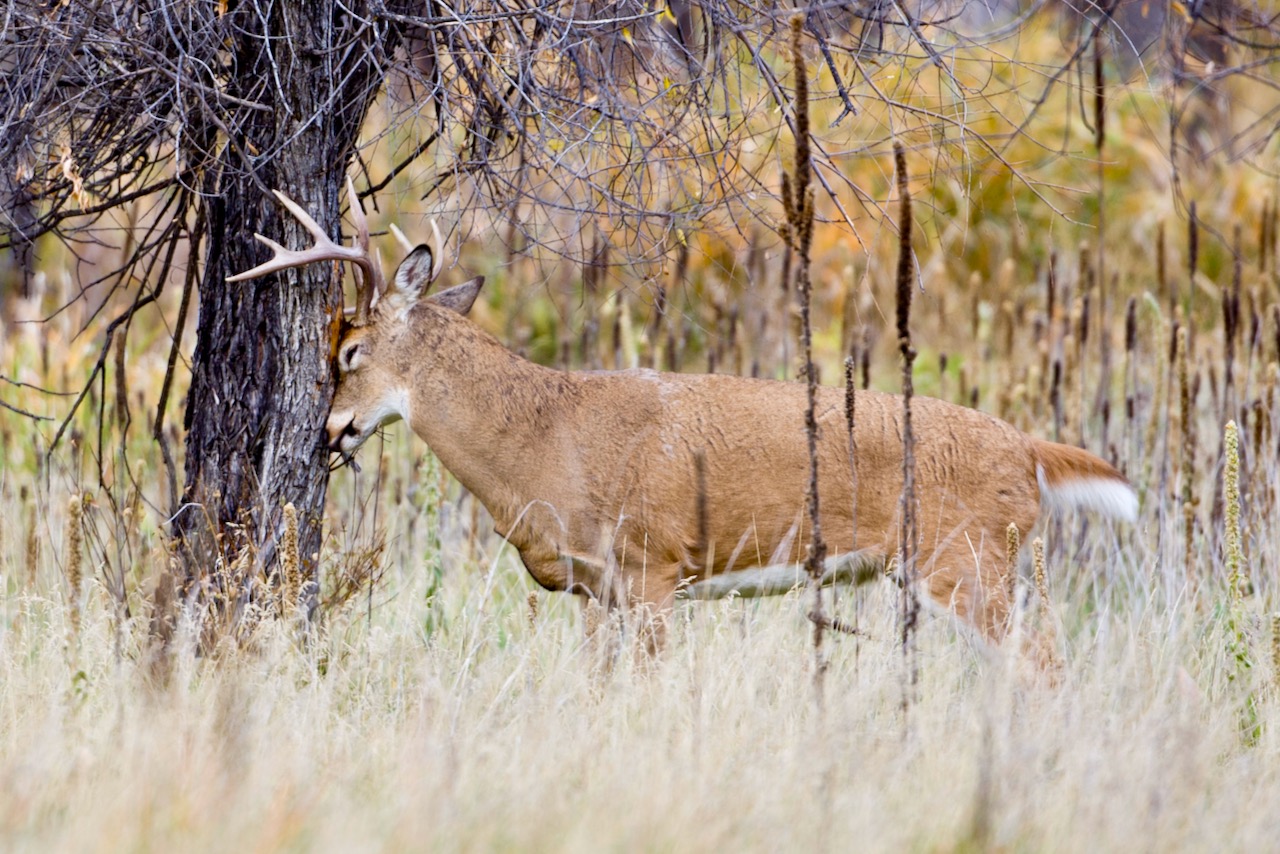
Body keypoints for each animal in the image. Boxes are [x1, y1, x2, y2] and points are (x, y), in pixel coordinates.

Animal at [230, 181, 1138, 651]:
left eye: (350, 352)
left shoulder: (652, 566)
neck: (542, 440)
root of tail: (1028, 453)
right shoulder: (597, 592)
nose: (327, 432)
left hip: (970, 562)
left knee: (1045, 666)